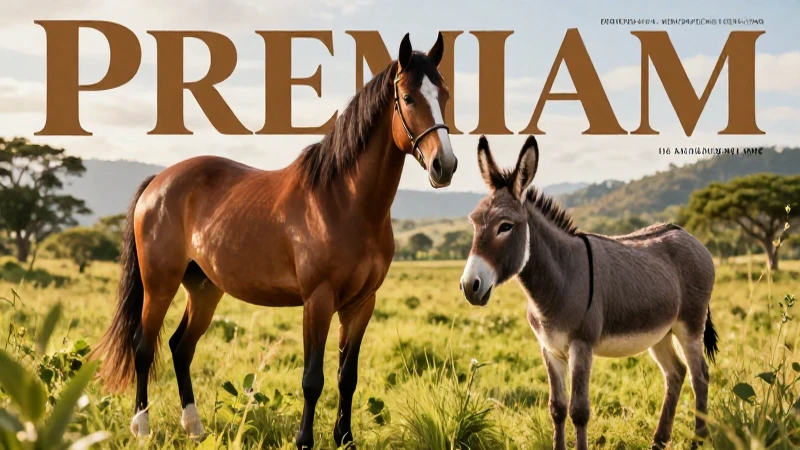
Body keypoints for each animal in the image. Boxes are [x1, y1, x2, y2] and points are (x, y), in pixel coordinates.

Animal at [91, 32, 457, 450]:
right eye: (409, 98)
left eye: (444, 94)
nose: (444, 166)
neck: (344, 202)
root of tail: (159, 181)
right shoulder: (317, 300)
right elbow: (312, 379)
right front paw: (304, 440)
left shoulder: (362, 304)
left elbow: (347, 377)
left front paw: (345, 438)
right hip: (159, 285)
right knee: (142, 346)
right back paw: (142, 427)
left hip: (204, 289)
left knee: (180, 348)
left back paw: (195, 427)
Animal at [459, 136, 718, 450]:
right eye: (474, 222)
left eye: (505, 226)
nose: (469, 285)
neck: (558, 282)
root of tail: (689, 235)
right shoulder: (549, 349)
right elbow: (557, 408)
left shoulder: (581, 346)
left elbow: (579, 410)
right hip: (660, 332)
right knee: (676, 374)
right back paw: (659, 441)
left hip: (689, 325)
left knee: (699, 376)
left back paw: (698, 440)